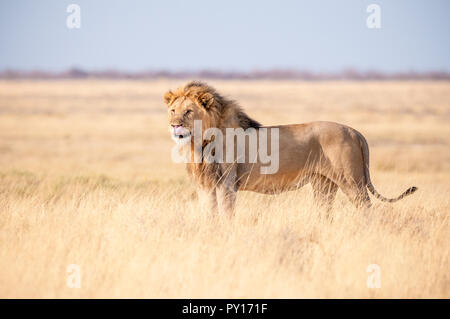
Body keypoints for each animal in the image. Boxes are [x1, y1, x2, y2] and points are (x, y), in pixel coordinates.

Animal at [163, 81, 418, 219]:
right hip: (324, 184)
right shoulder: (205, 184)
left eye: (188, 112)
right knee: (325, 212)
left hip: (352, 181)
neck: (199, 143)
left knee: (366, 209)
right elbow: (209, 213)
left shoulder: (226, 182)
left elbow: (226, 214)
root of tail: (355, 131)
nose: (174, 125)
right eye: (173, 110)